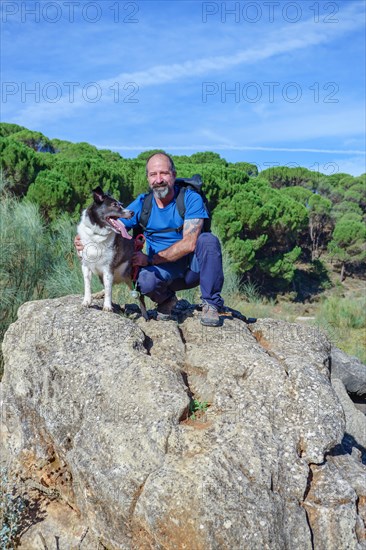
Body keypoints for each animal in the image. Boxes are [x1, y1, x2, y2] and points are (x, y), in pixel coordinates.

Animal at [77, 188, 147, 320]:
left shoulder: (108, 269)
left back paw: (145, 315)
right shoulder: (85, 266)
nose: (132, 212)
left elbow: (109, 290)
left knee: (140, 298)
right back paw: (99, 294)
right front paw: (86, 301)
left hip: (133, 279)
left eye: (121, 204)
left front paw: (107, 307)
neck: (97, 235)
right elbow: (87, 285)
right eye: (115, 205)